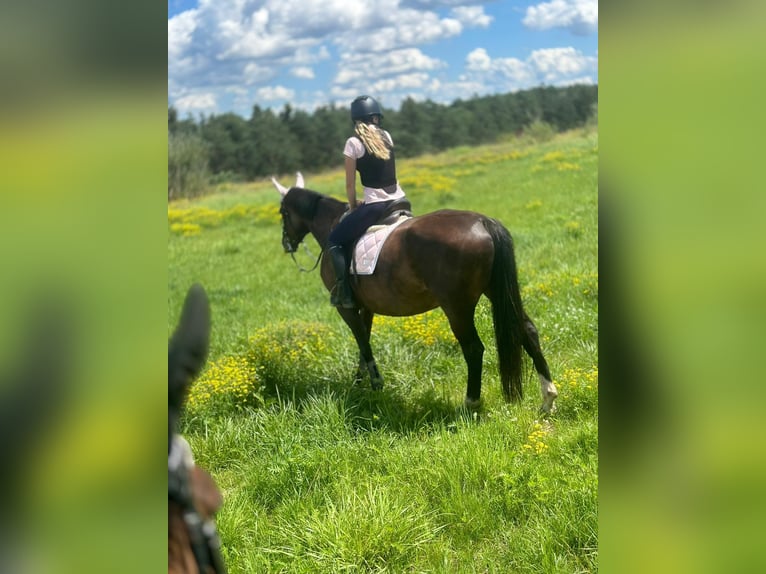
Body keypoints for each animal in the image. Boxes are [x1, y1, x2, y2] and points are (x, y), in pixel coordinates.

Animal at [272, 171, 560, 414]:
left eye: (282, 212)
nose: (286, 244)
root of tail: (483, 222)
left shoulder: (346, 308)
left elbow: (362, 343)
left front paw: (374, 386)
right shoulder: (366, 308)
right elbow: (364, 344)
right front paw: (360, 384)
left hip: (456, 306)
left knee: (473, 348)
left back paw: (471, 403)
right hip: (497, 293)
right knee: (527, 331)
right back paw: (548, 398)